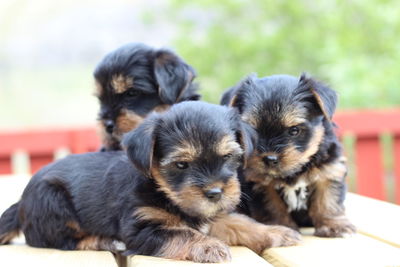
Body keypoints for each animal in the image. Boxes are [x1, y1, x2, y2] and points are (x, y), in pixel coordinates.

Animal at [0, 102, 300, 264]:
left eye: (228, 157)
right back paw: (105, 241)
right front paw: (207, 245)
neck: (163, 192)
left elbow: (241, 223)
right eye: (181, 165)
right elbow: (181, 233)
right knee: (62, 240)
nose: (215, 192)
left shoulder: (214, 215)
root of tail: (22, 202)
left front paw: (275, 232)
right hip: (52, 202)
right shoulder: (143, 227)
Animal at [222, 74, 356, 239]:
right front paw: (281, 226)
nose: (270, 158)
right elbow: (273, 206)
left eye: (294, 131)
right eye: (252, 132)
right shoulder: (259, 182)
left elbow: (328, 200)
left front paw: (334, 225)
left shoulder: (329, 170)